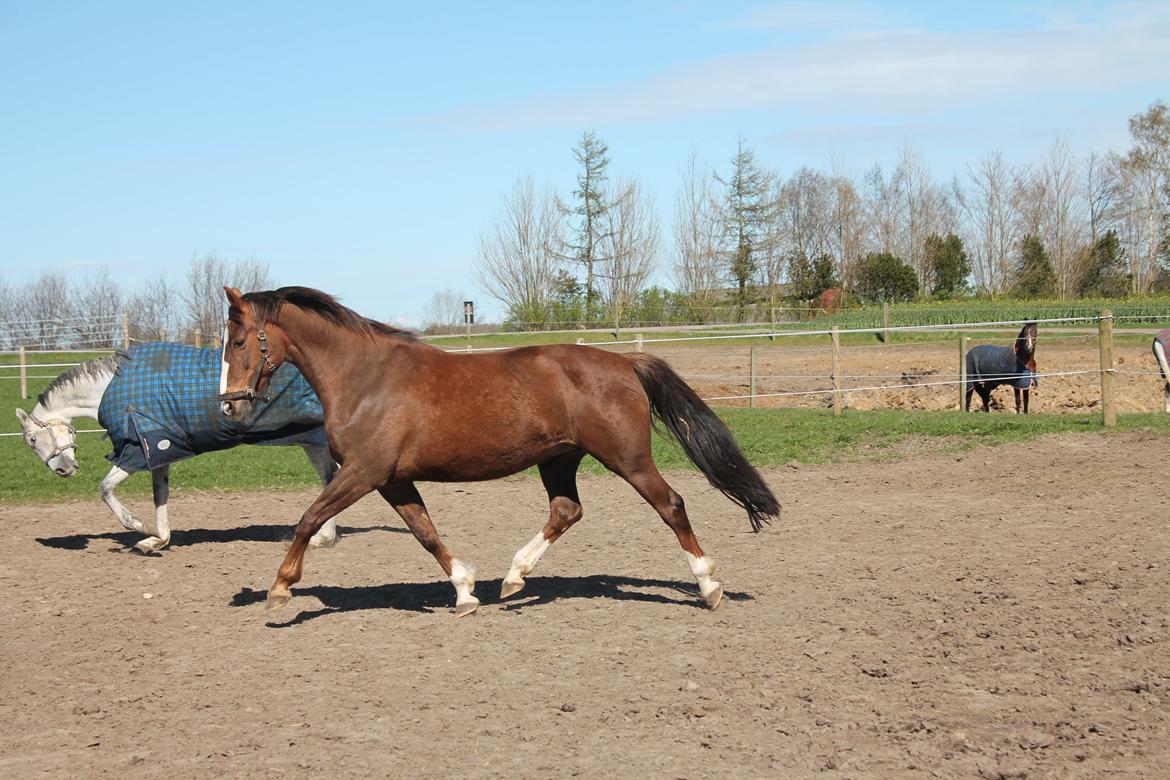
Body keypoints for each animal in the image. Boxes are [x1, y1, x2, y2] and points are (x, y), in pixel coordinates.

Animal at [14, 355, 339, 554]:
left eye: (31, 439)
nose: (65, 470)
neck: (114, 390)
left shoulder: (137, 451)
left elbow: (105, 488)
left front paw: (137, 525)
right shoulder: (159, 454)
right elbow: (160, 496)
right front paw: (156, 540)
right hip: (312, 442)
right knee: (329, 479)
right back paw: (322, 538)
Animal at [219, 286, 781, 617]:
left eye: (240, 341)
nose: (229, 406)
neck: (365, 379)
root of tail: (625, 362)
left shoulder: (363, 472)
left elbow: (309, 519)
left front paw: (280, 588)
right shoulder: (392, 479)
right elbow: (425, 533)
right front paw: (466, 592)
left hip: (628, 459)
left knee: (671, 506)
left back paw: (708, 586)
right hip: (559, 459)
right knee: (566, 510)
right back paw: (513, 579)